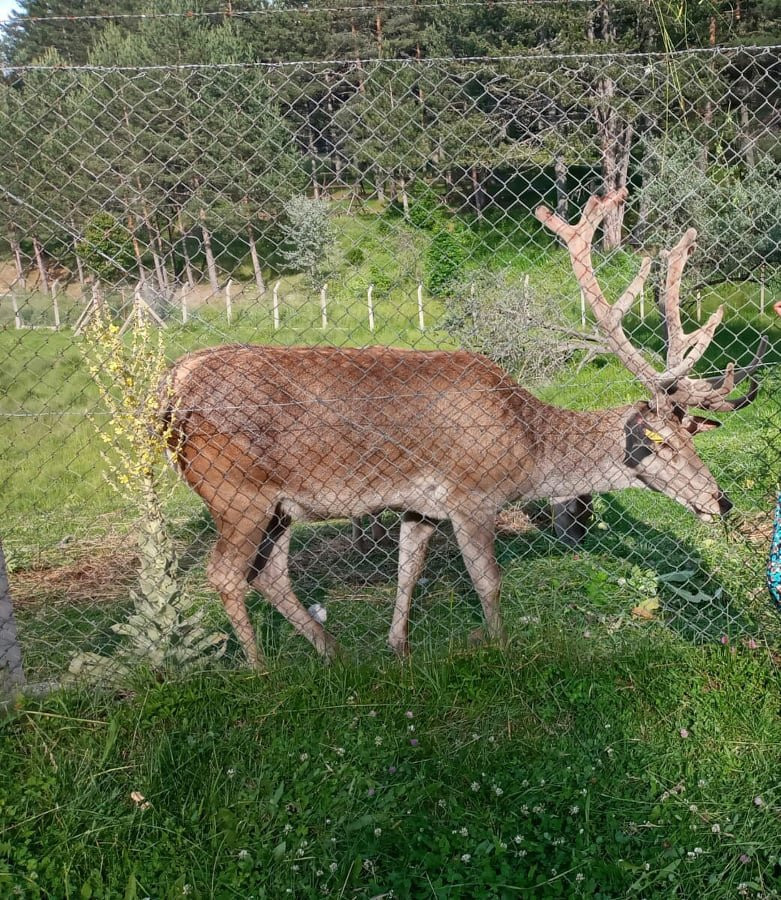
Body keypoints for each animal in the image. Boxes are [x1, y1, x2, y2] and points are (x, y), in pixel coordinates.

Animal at [161, 190, 764, 668]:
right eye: (667, 446)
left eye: (694, 438)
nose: (721, 501)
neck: (528, 448)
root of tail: (172, 388)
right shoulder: (472, 493)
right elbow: (488, 580)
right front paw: (501, 646)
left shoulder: (421, 504)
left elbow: (408, 572)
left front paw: (399, 648)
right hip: (234, 491)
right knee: (225, 574)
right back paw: (261, 669)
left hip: (281, 505)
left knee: (269, 573)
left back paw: (333, 652)